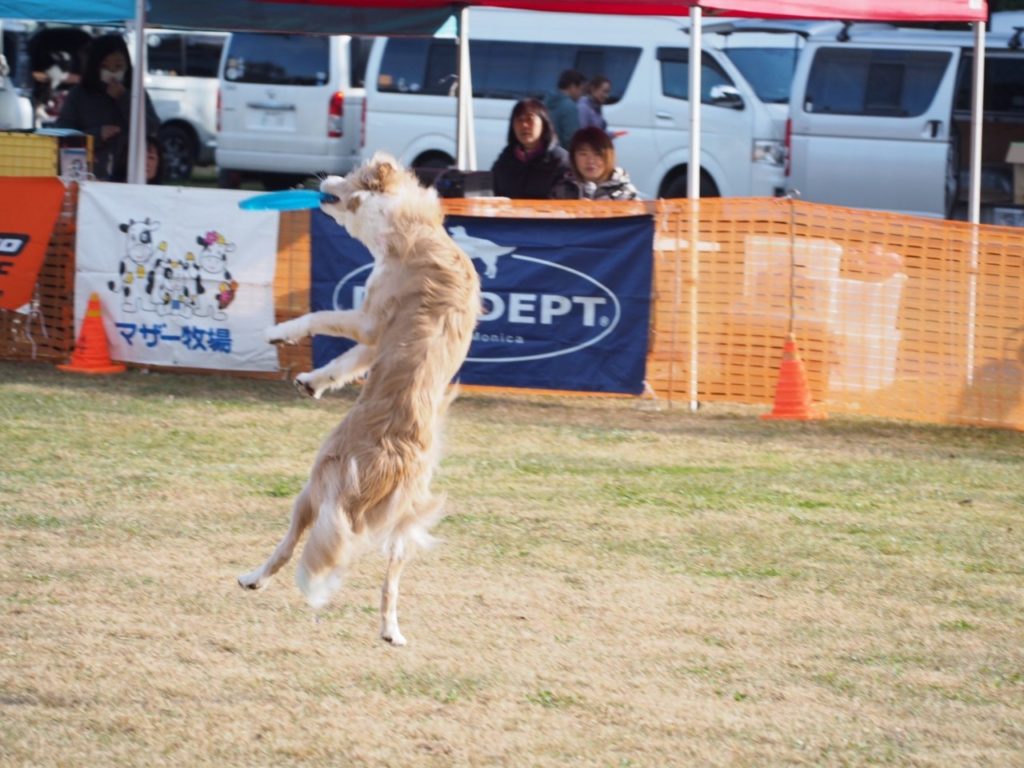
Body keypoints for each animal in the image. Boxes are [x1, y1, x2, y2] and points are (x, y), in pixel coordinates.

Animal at [238, 153, 479, 647]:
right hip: (402, 528)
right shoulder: (373, 343)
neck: (413, 226)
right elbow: (343, 364)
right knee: (390, 584)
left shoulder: (369, 321)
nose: (322, 177)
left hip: (312, 488)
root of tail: (394, 460)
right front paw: (311, 382)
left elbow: (318, 316)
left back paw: (251, 578)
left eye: (347, 176)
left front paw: (278, 333)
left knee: (288, 546)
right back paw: (391, 631)